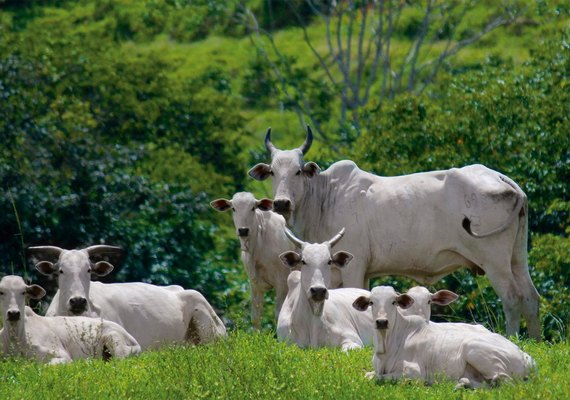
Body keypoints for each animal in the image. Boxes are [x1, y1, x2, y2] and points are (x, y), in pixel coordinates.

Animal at [0, 276, 140, 366]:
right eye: (1, 292)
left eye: (23, 292)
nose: (14, 313)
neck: (16, 339)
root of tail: (133, 339)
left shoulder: (62, 355)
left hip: (114, 340)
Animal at [211, 192, 296, 330]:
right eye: (233, 208)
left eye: (253, 208)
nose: (243, 230)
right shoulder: (254, 283)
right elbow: (256, 316)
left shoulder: (282, 283)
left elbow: (279, 314)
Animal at [247, 126, 536, 340]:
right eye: (273, 172)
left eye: (298, 171)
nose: (281, 203)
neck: (324, 197)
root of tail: (503, 179)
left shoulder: (354, 266)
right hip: (517, 258)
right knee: (531, 296)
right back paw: (535, 339)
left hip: (494, 260)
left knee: (512, 297)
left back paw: (512, 339)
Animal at [352, 286, 536, 390]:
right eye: (371, 302)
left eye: (394, 301)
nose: (382, 322)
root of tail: (526, 357)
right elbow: (369, 375)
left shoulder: (414, 372)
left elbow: (378, 378)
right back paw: (462, 384)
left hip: (475, 350)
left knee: (504, 381)